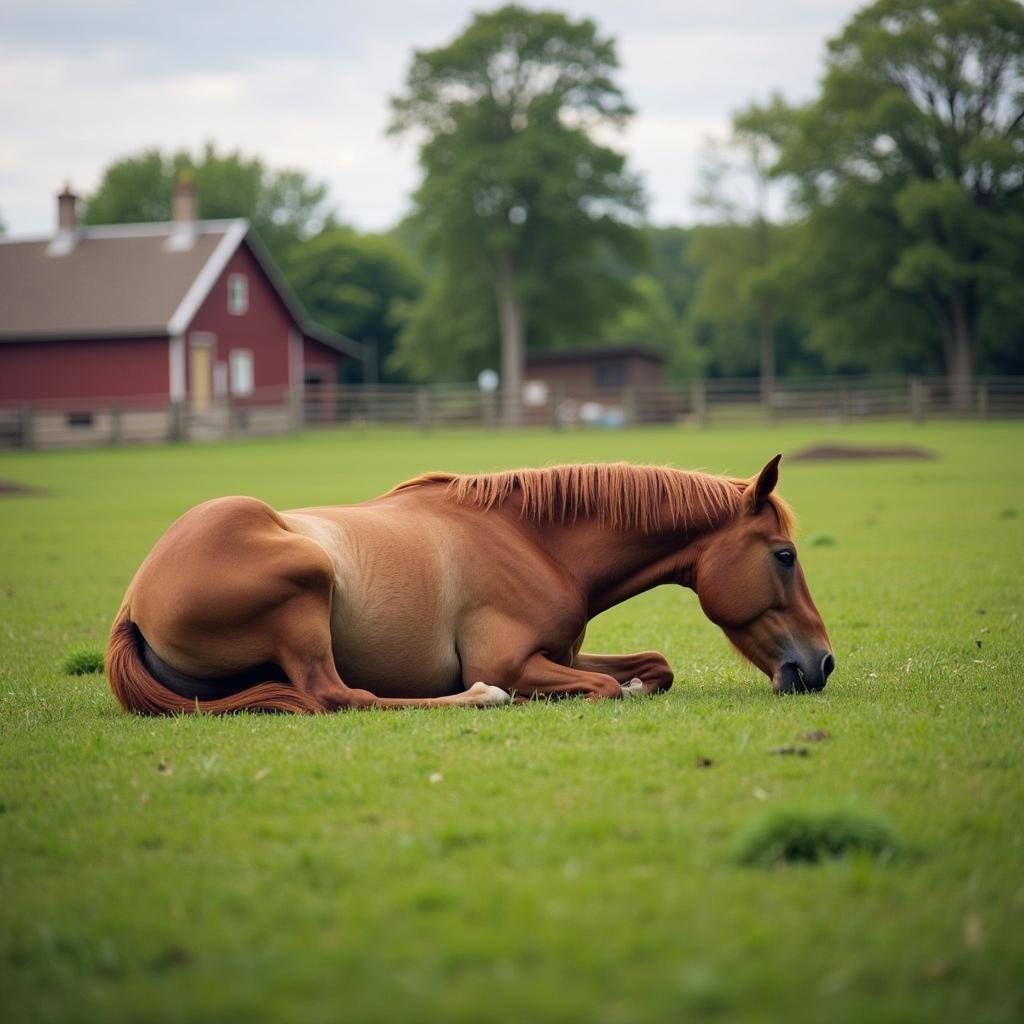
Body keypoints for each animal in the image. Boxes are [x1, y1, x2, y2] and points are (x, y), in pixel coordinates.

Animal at [108, 456, 835, 712]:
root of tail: (134, 603)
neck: (531, 539)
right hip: (307, 581)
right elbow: (604, 688)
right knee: (339, 696)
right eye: (784, 555)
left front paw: (635, 679)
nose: (822, 663)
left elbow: (653, 665)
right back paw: (479, 698)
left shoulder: (561, 653)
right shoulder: (512, 660)